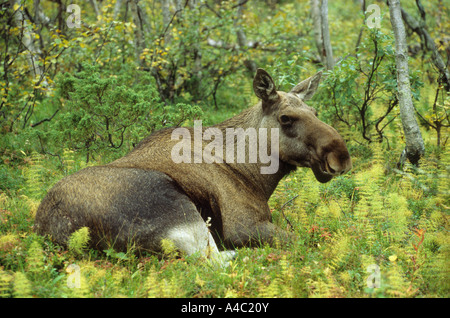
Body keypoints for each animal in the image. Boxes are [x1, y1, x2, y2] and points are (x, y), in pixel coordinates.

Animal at [35, 69, 352, 264]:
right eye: (286, 118)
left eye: (314, 111)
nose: (340, 157)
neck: (253, 172)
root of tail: (54, 230)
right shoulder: (244, 226)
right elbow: (303, 241)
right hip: (182, 213)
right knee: (214, 262)